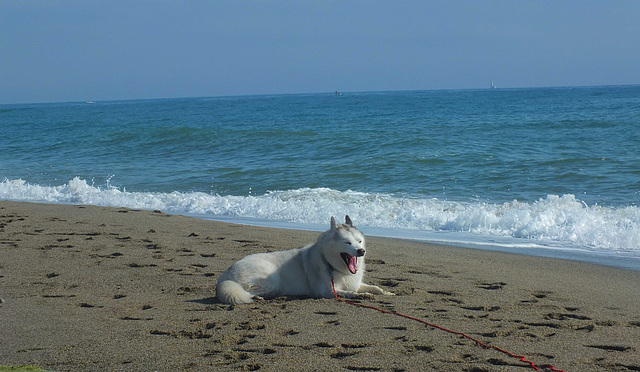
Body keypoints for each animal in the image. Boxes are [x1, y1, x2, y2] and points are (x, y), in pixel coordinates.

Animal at [218, 217, 392, 304]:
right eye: (348, 243)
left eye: (359, 241)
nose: (361, 251)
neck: (333, 266)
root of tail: (224, 276)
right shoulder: (327, 291)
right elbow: (350, 293)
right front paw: (363, 296)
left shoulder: (356, 283)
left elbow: (374, 287)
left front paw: (385, 292)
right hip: (272, 280)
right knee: (244, 292)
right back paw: (256, 298)